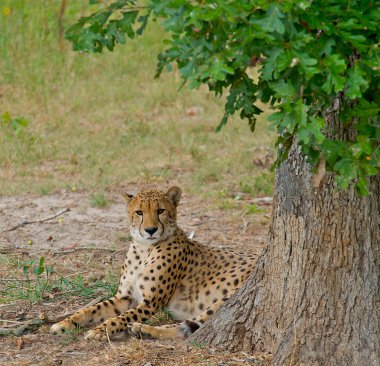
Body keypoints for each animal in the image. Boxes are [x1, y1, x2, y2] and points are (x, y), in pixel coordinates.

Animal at [50, 186, 256, 340]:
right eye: (139, 212)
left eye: (160, 211)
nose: (150, 230)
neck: (144, 249)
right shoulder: (125, 297)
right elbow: (91, 309)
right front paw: (65, 323)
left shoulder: (150, 303)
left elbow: (119, 318)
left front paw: (101, 330)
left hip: (228, 296)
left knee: (188, 328)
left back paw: (145, 329)